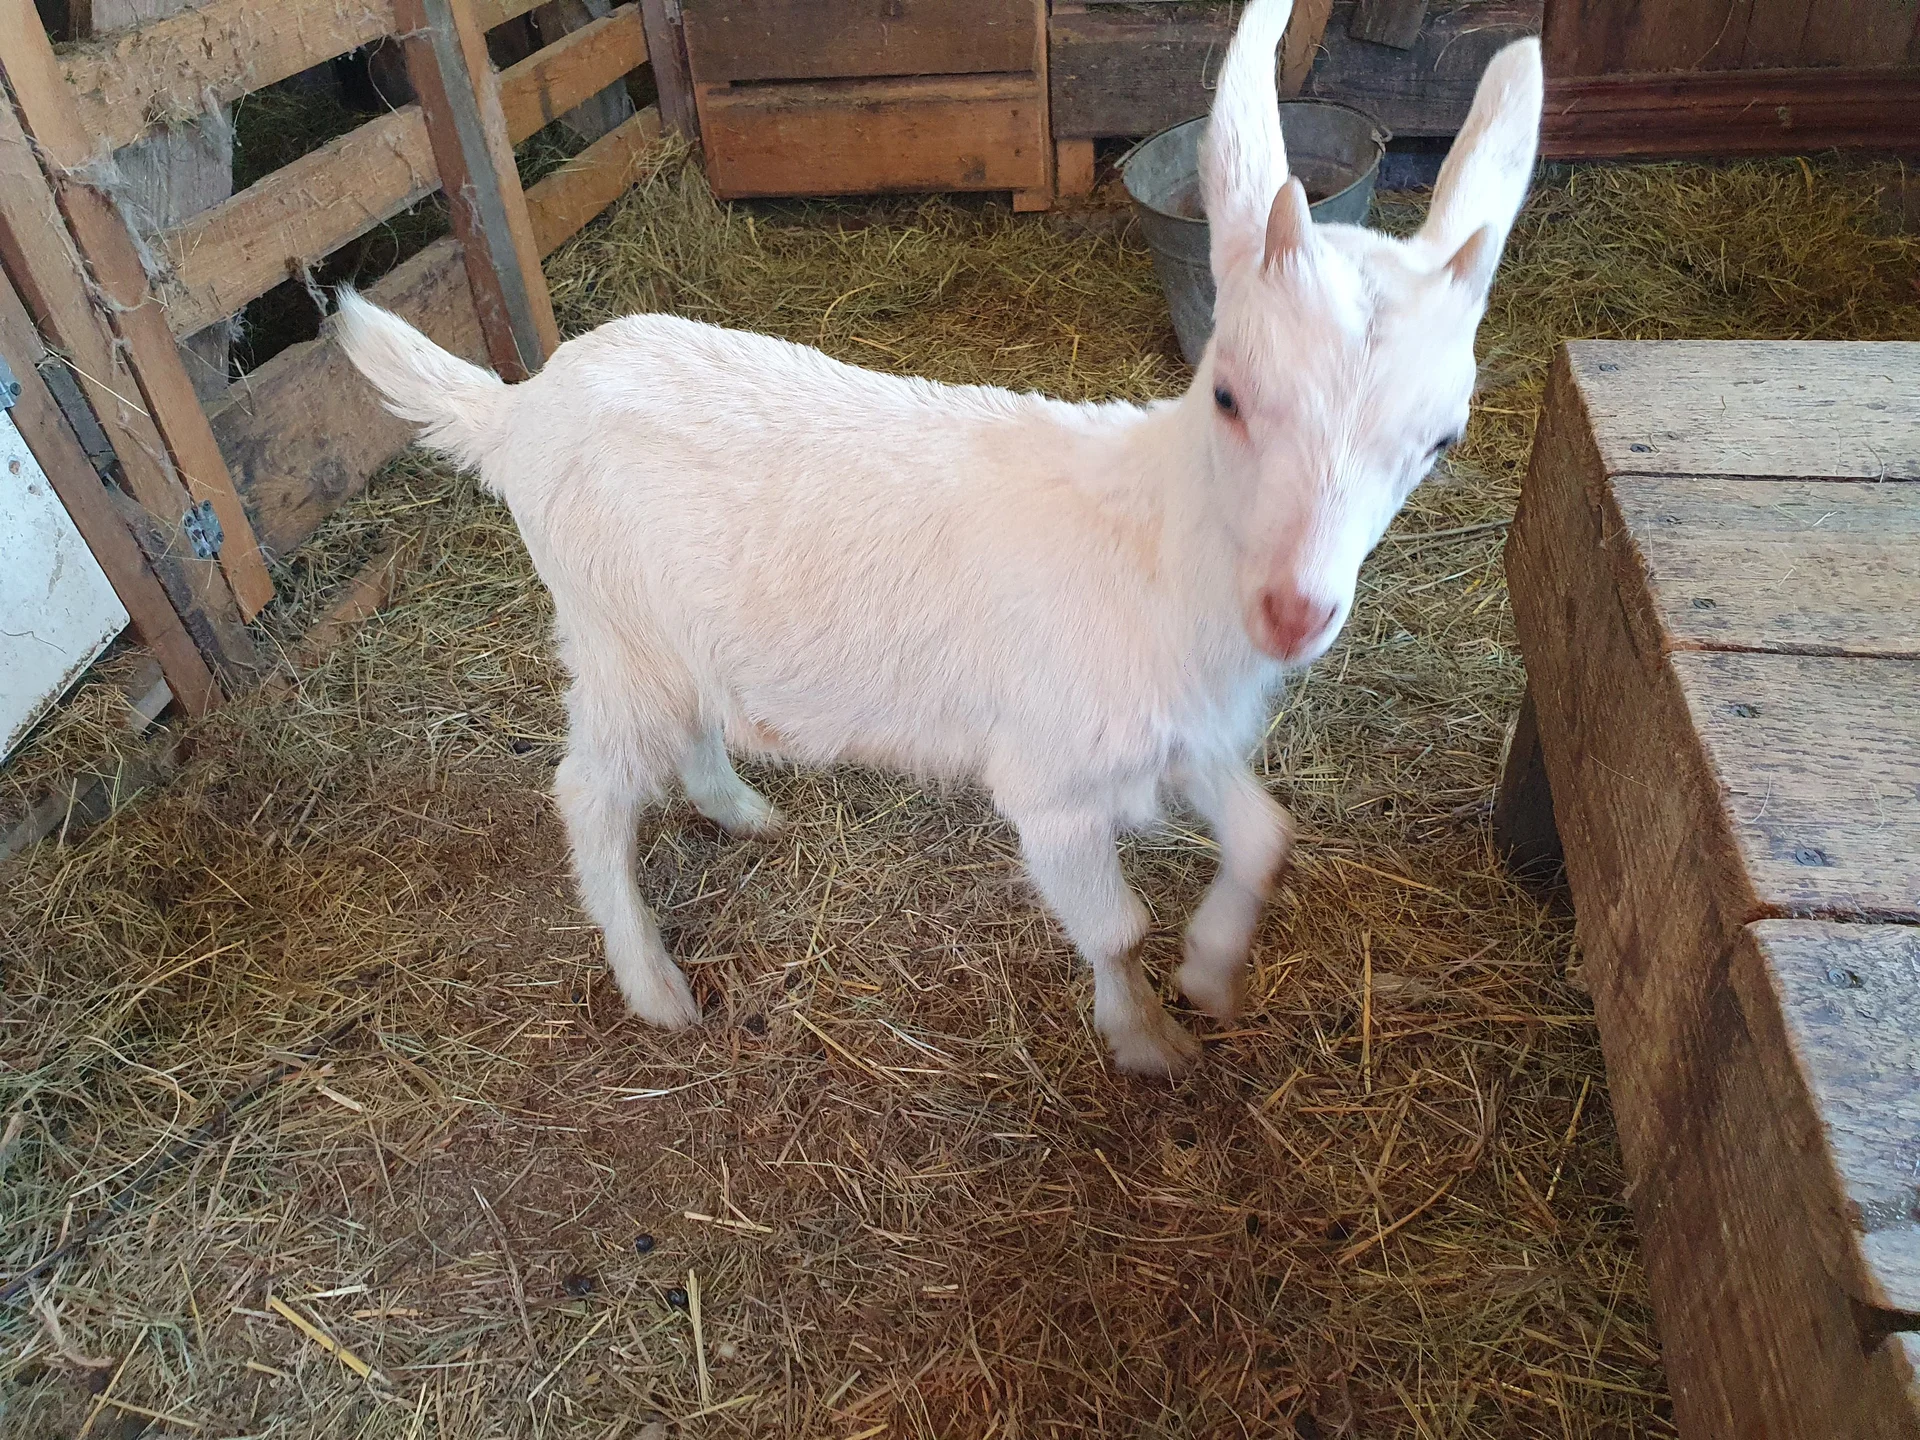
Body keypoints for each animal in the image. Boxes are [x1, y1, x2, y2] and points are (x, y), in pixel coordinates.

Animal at [334, 0, 1544, 1075]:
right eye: (1231, 395)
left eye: (1442, 441)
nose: (1294, 611)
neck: (1161, 551)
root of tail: (517, 410)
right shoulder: (1051, 777)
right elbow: (1116, 930)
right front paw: (1148, 1041)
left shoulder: (1181, 732)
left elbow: (1266, 835)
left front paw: (1208, 974)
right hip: (611, 632)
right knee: (589, 795)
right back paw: (655, 986)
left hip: (673, 637)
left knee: (691, 728)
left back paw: (741, 811)